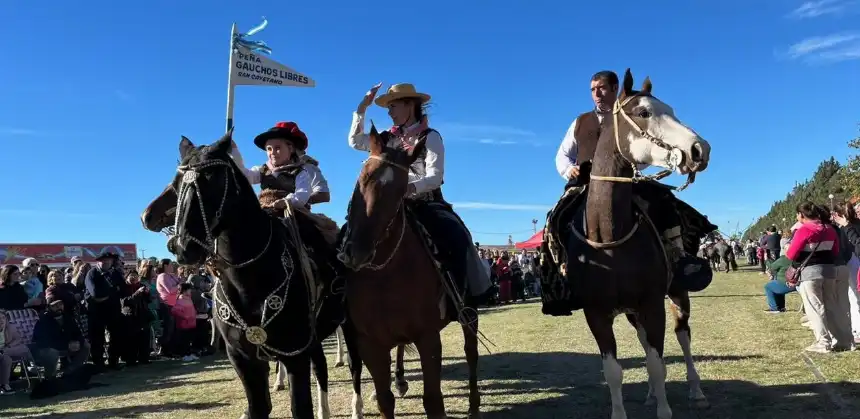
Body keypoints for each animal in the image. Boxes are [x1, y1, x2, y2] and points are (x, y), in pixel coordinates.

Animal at [141, 134, 362, 419]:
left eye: (213, 179)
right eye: (178, 183)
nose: (181, 247)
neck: (249, 279)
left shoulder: (295, 354)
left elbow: (300, 407)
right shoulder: (243, 359)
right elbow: (258, 407)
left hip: (348, 324)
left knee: (355, 366)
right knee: (322, 367)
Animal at [338, 124, 484, 419]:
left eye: (399, 190)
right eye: (362, 179)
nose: (355, 252)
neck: (385, 275)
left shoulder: (428, 338)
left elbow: (433, 401)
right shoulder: (369, 344)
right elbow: (385, 400)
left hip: (469, 313)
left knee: (471, 351)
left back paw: (473, 406)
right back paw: (401, 379)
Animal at [572, 70, 712, 418]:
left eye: (671, 110)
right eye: (643, 112)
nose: (700, 149)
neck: (609, 240)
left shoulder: (652, 304)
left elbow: (657, 364)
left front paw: (664, 408)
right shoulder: (597, 314)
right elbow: (614, 372)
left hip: (677, 295)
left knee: (683, 337)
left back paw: (696, 391)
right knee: (645, 340)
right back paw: (650, 394)